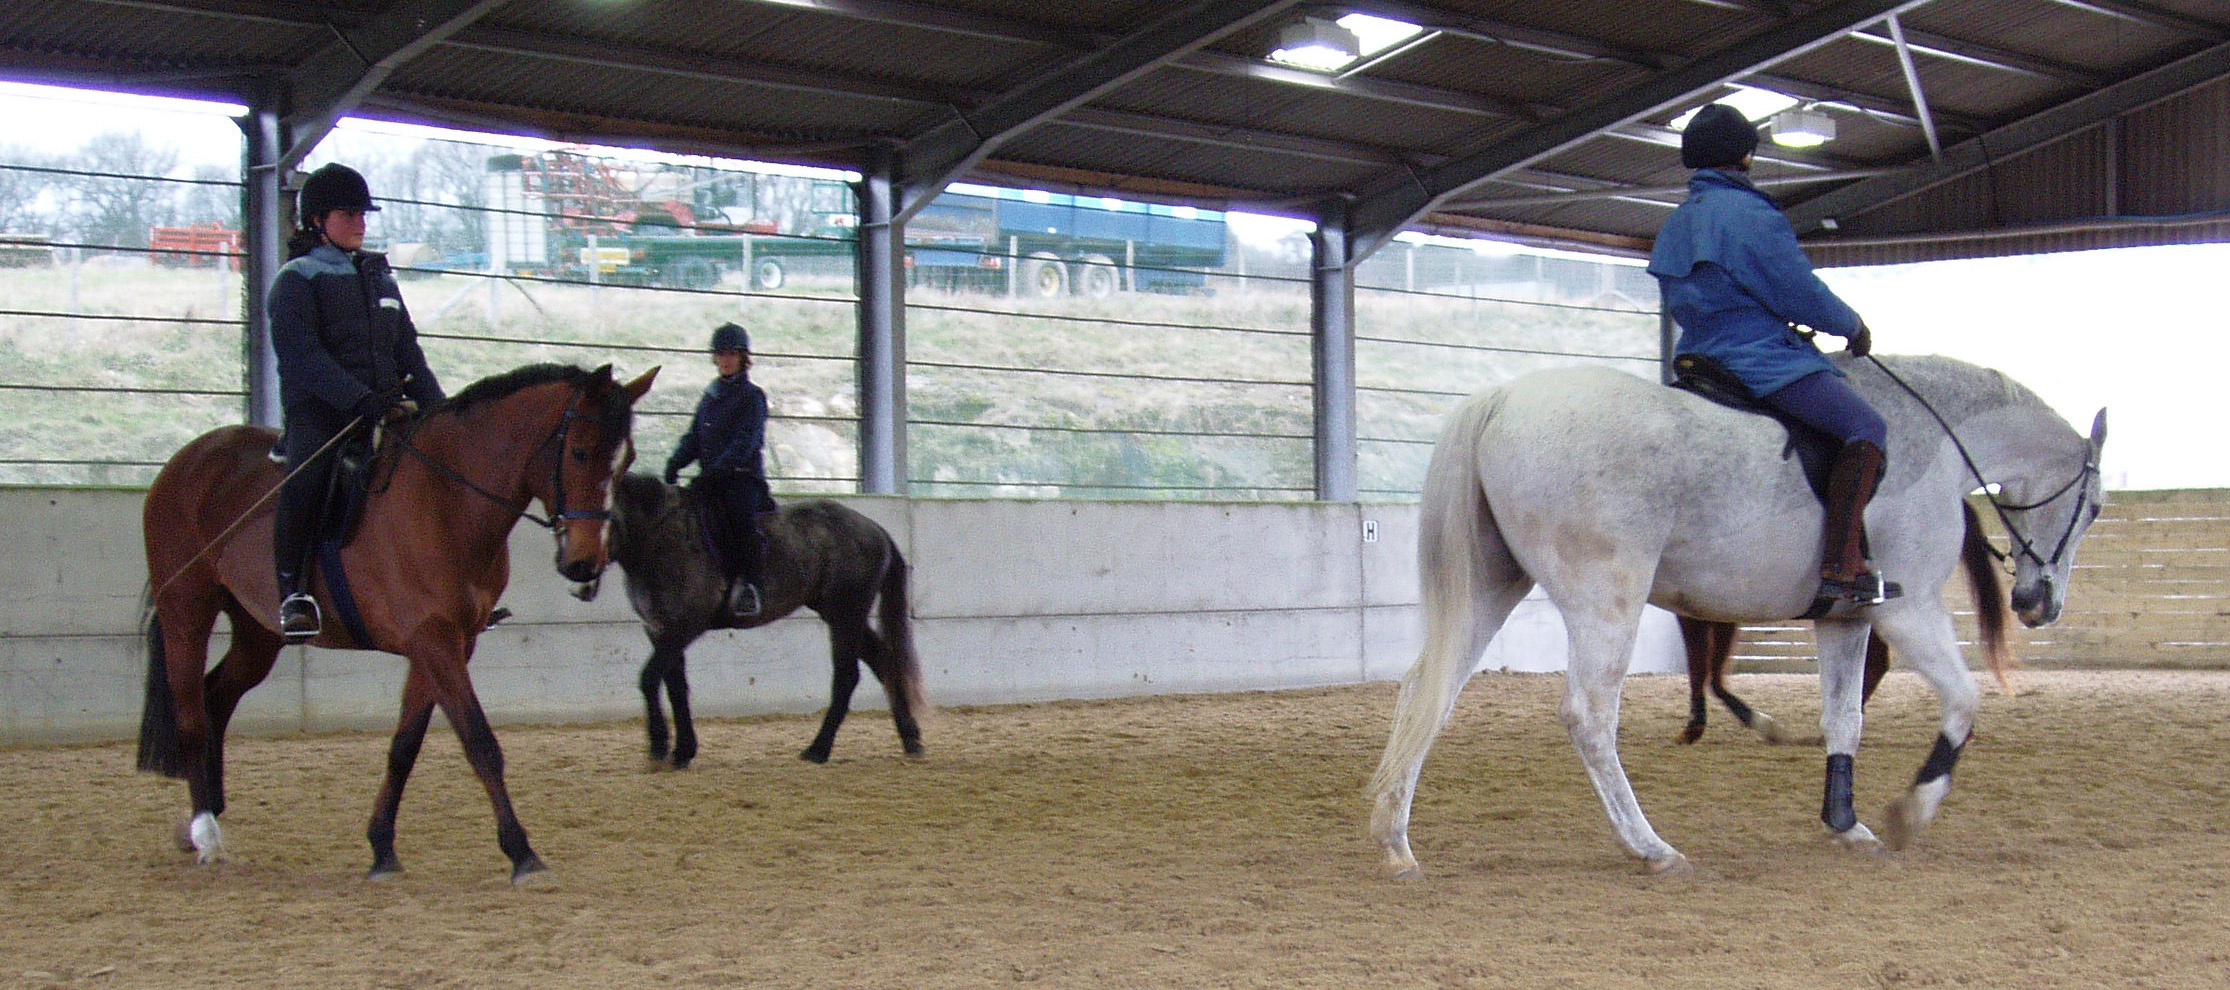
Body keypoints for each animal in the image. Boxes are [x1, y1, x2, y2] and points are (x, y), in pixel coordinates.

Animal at [137, 361, 651, 882]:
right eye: (580, 451)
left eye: (626, 460)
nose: (585, 564)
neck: (447, 500)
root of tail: (190, 458)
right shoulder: (434, 641)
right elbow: (480, 742)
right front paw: (522, 853)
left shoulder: (447, 644)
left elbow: (404, 747)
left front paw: (382, 847)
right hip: (187, 609)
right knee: (191, 715)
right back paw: (206, 834)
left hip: (257, 633)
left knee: (217, 700)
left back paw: (203, 821)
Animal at [1355, 354, 2105, 874]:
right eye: (2095, 507)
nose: (2039, 604)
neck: (1934, 444)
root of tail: (1503, 398)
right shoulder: (1910, 609)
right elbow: (1963, 700)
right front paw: (1909, 813)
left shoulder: (1846, 619)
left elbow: (1845, 718)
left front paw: (1845, 822)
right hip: (1607, 600)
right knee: (1588, 717)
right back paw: (1650, 846)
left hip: (1489, 585)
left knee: (1428, 691)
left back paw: (1394, 842)